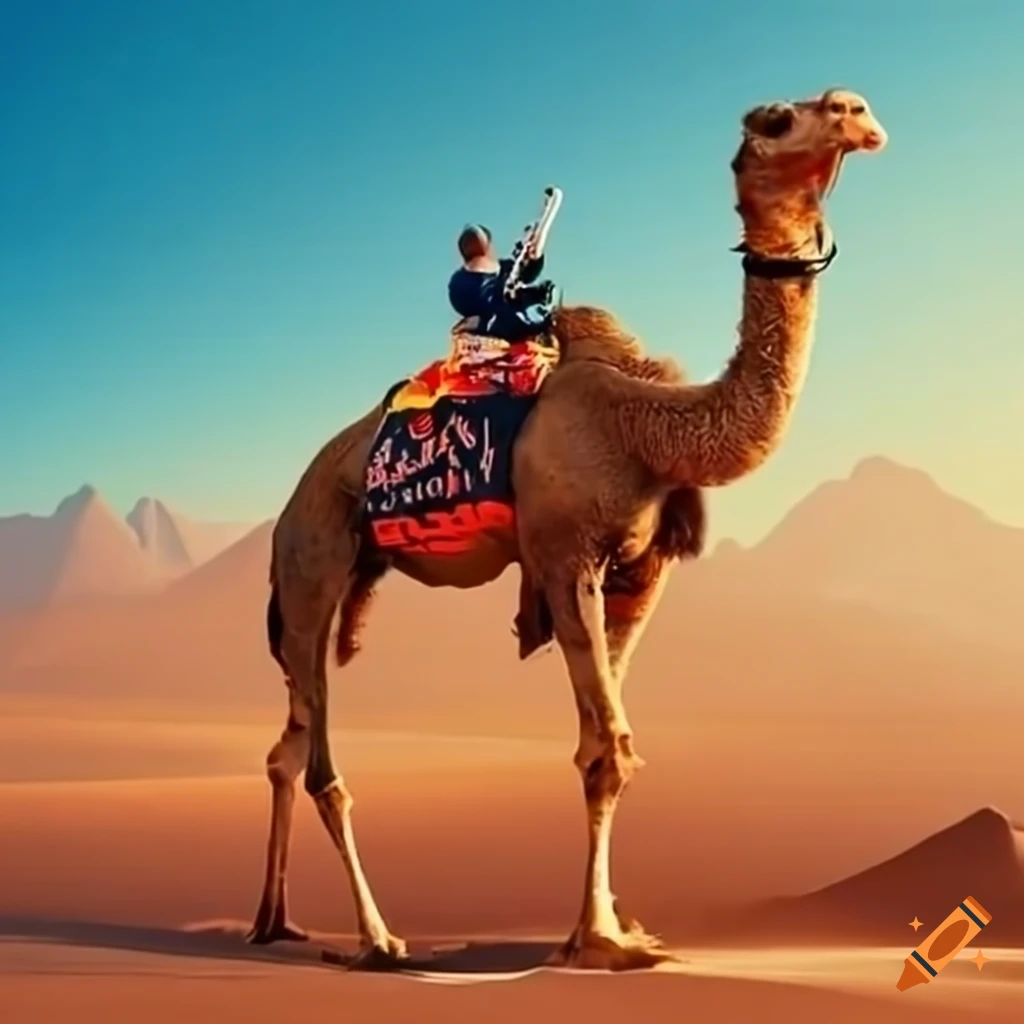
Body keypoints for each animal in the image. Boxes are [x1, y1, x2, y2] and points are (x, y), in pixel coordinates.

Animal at [247, 87, 887, 971]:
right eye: (775, 120)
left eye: (836, 108)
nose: (855, 111)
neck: (645, 424)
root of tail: (286, 508)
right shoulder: (562, 556)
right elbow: (604, 749)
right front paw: (597, 941)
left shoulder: (642, 573)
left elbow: (614, 748)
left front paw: (622, 925)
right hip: (313, 566)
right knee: (320, 766)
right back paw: (378, 939)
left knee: (287, 746)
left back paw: (274, 922)